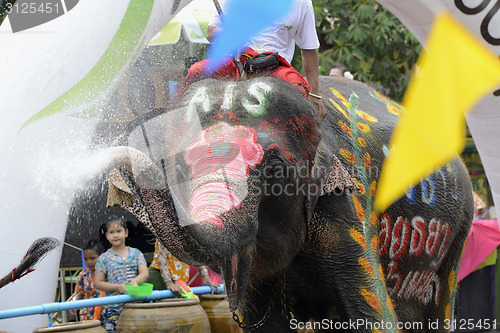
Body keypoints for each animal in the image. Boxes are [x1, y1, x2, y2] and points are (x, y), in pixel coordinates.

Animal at [105, 76, 472, 330]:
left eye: (274, 169)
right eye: (179, 168)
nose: (121, 150)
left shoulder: (346, 202)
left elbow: (374, 316)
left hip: (458, 234)